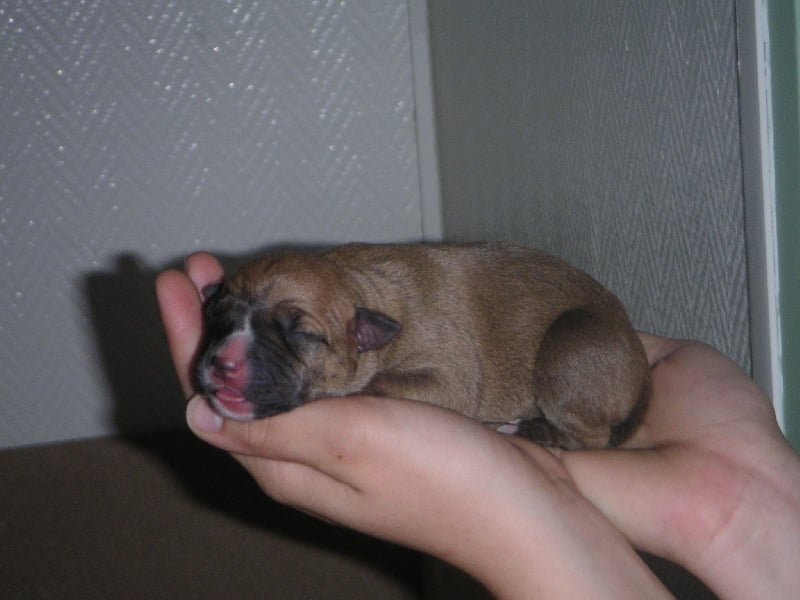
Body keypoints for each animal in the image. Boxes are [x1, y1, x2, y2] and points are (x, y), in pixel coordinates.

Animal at [194, 241, 648, 448]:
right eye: (217, 316)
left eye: (302, 334)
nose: (223, 363)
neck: (364, 289)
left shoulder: (447, 374)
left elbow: (381, 383)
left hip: (569, 346)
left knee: (588, 438)